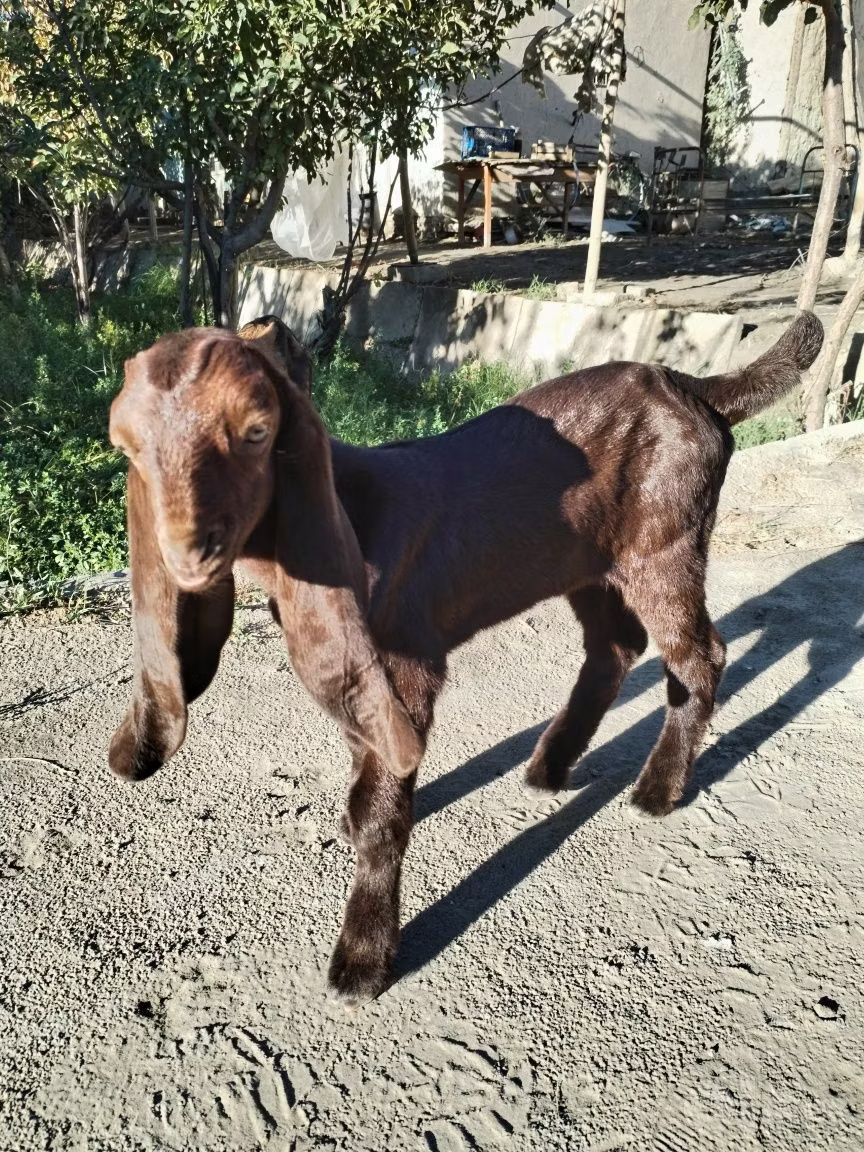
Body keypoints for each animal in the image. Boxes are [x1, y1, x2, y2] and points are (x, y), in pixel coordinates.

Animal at [107, 311, 823, 1003]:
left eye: (257, 431)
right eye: (128, 445)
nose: (186, 553)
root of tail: (695, 387)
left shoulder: (406, 662)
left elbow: (383, 810)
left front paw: (362, 960)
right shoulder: (364, 673)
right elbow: (364, 752)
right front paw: (352, 816)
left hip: (665, 544)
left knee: (700, 656)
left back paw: (656, 790)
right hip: (584, 562)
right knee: (616, 646)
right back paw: (551, 765)